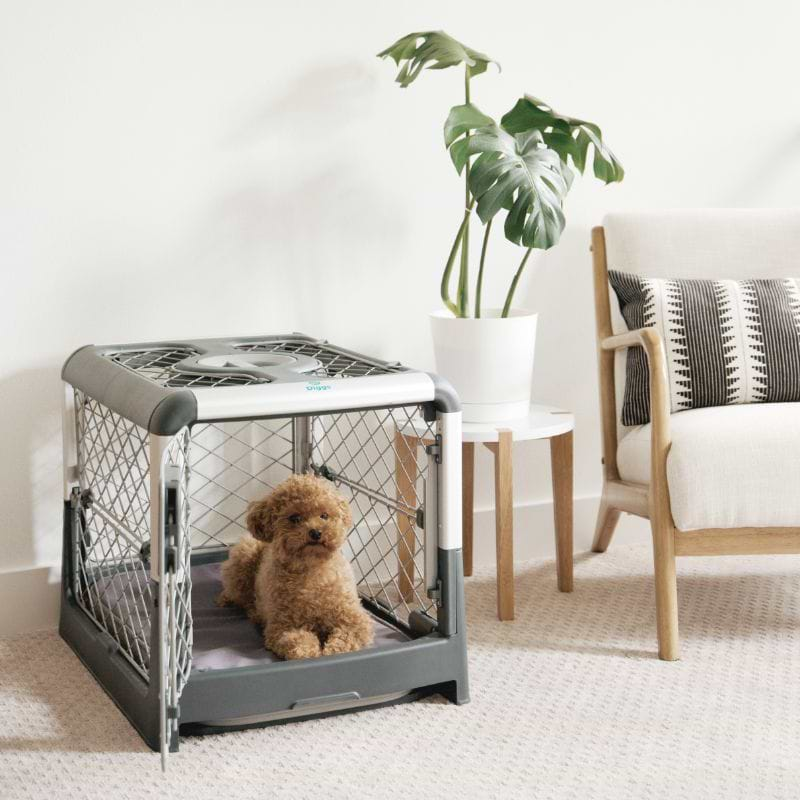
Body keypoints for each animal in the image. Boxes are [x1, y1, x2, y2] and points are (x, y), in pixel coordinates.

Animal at [216, 476, 372, 656]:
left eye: (324, 515)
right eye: (294, 518)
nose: (316, 532)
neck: (311, 568)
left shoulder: (355, 619)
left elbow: (347, 638)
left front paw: (331, 650)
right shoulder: (283, 626)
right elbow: (298, 641)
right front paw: (310, 652)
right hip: (243, 555)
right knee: (240, 596)